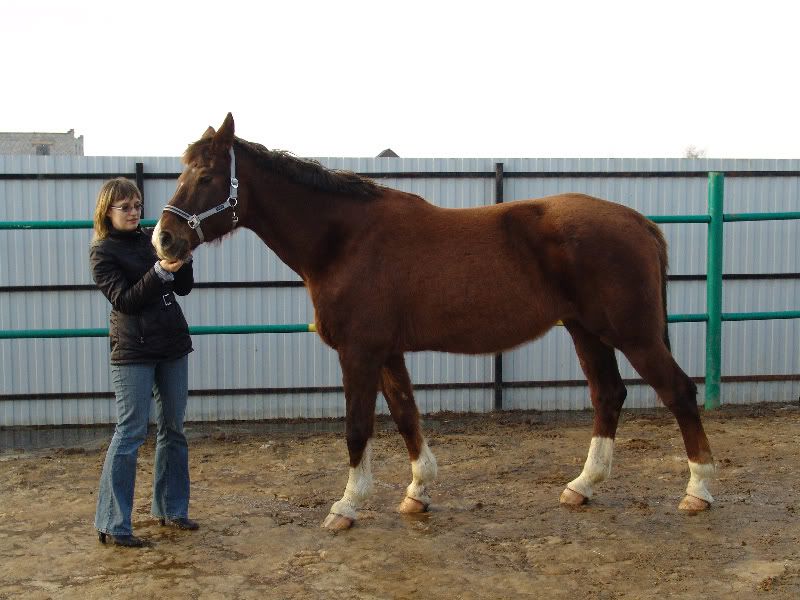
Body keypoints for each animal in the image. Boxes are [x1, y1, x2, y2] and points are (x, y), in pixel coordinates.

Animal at [153, 112, 716, 528]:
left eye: (206, 175)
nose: (165, 241)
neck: (345, 240)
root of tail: (640, 222)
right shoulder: (387, 351)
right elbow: (407, 415)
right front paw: (418, 492)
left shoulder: (359, 352)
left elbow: (357, 427)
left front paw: (347, 505)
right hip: (587, 332)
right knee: (608, 395)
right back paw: (582, 487)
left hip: (633, 335)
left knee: (679, 393)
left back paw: (698, 491)